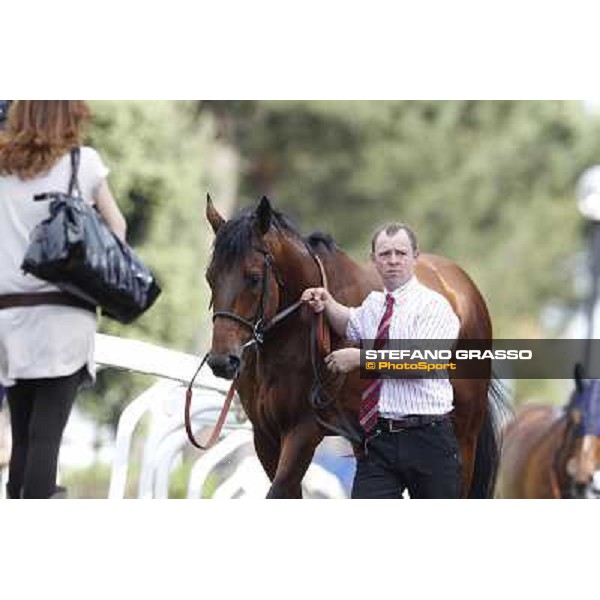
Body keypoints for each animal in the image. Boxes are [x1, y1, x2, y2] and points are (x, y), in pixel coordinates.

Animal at [204, 196, 508, 496]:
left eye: (254, 277)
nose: (222, 360)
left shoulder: (302, 430)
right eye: (210, 277)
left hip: (463, 434)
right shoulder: (265, 436)